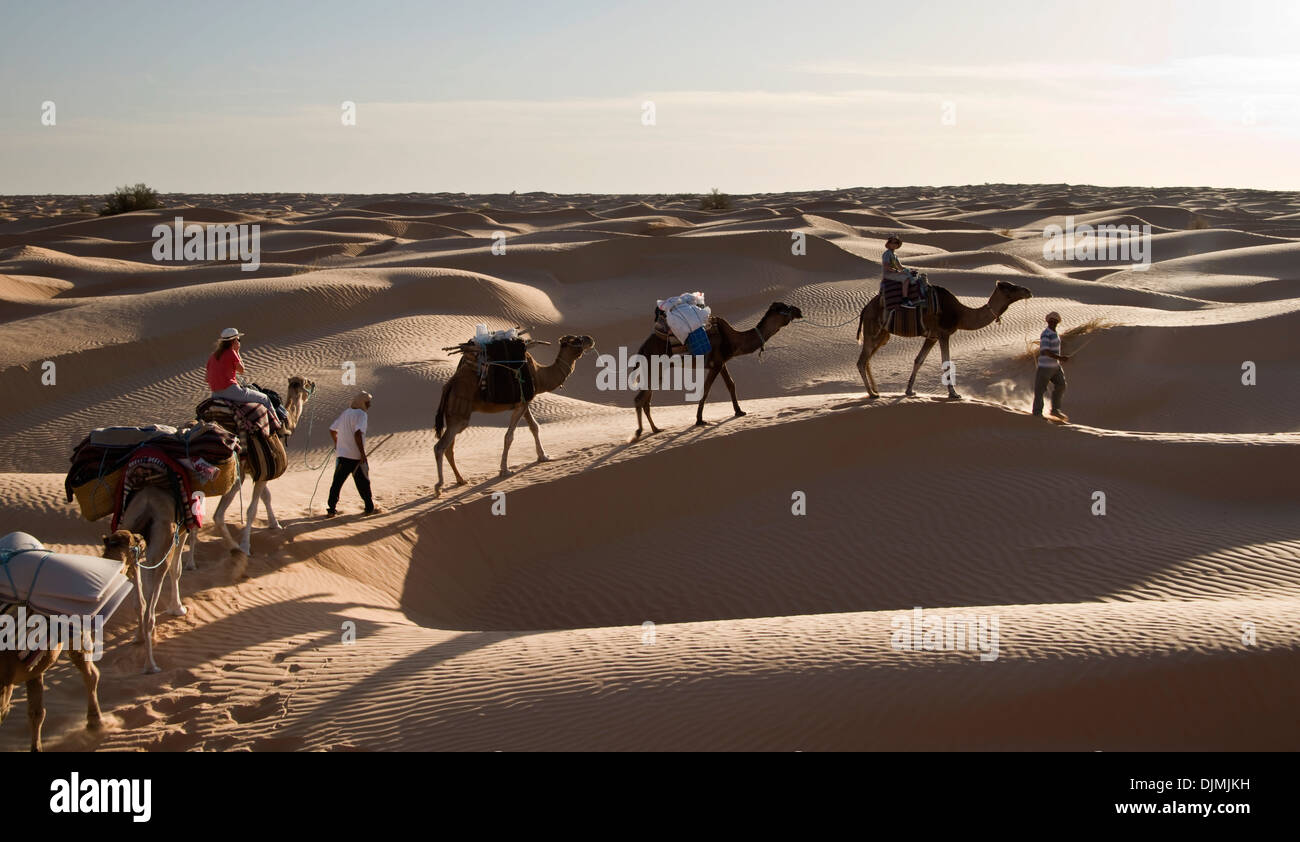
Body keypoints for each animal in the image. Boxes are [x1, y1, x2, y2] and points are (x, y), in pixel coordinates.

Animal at [213, 374, 317, 553]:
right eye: (307, 382)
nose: (314, 383)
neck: (283, 425)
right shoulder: (262, 471)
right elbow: (252, 509)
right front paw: (246, 546)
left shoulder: (254, 472)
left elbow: (266, 496)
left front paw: (275, 524)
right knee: (216, 514)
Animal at [436, 332, 598, 496]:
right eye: (577, 340)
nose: (589, 339)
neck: (539, 375)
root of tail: (449, 385)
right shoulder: (521, 403)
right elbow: (509, 436)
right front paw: (505, 470)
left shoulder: (525, 402)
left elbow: (534, 427)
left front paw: (543, 456)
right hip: (459, 412)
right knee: (440, 446)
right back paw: (439, 488)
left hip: (454, 415)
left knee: (449, 447)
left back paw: (461, 480)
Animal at [631, 301, 800, 433]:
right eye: (785, 308)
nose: (799, 311)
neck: (733, 340)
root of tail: (642, 348)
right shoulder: (716, 364)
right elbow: (706, 390)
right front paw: (699, 420)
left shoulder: (722, 362)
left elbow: (731, 384)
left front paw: (739, 411)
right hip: (655, 367)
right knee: (640, 398)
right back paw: (639, 432)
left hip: (655, 371)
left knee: (646, 400)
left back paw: (655, 429)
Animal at [852, 278, 1034, 400]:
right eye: (1010, 287)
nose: (1028, 291)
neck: (961, 314)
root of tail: (865, 309)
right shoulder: (944, 334)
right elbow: (946, 362)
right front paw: (954, 394)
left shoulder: (932, 337)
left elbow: (918, 360)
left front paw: (909, 391)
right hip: (872, 330)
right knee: (861, 361)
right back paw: (871, 394)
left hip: (883, 335)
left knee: (867, 360)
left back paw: (876, 390)